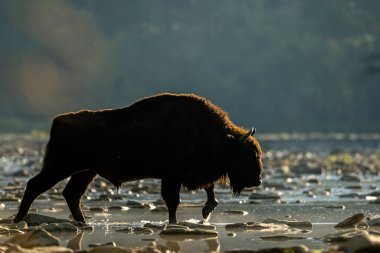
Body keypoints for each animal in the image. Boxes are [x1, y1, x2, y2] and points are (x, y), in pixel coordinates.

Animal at [15, 93, 264, 223]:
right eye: (248, 153)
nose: (258, 180)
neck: (219, 137)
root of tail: (59, 120)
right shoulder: (172, 176)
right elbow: (173, 201)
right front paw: (174, 222)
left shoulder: (189, 175)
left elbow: (208, 189)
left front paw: (207, 209)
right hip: (61, 166)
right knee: (35, 185)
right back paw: (19, 219)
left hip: (85, 171)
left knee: (71, 194)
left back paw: (83, 223)